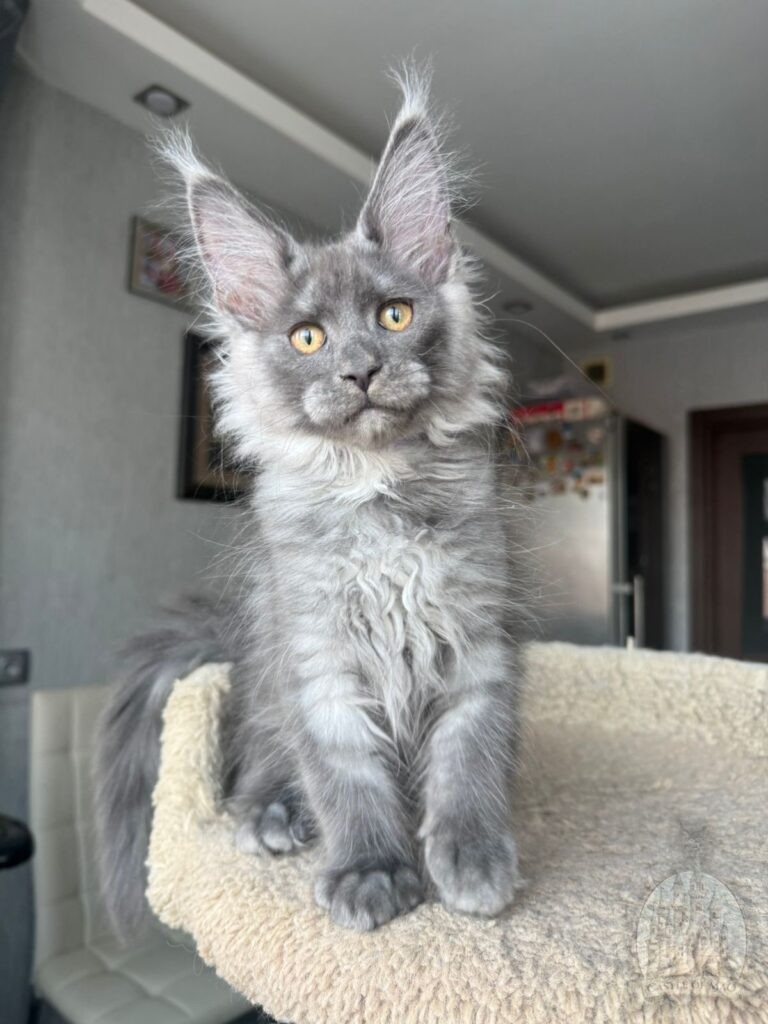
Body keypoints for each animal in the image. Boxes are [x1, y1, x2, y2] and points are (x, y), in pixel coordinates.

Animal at [95, 67, 525, 935]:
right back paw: (274, 813)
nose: (360, 370)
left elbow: (469, 755)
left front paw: (471, 855)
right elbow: (344, 776)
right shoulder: (317, 659)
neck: (377, 487)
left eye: (394, 315)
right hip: (265, 664)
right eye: (307, 339)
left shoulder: (477, 641)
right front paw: (370, 870)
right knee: (263, 754)